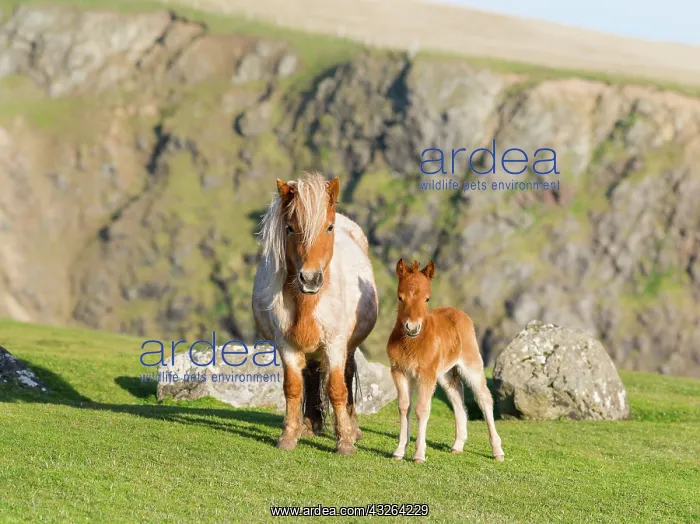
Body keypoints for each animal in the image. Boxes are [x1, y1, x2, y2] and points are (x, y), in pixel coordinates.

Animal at [252, 173, 378, 455]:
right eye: (289, 228)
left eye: (329, 228)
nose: (309, 279)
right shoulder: (286, 345)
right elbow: (293, 388)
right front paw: (289, 436)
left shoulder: (335, 343)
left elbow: (337, 389)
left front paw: (345, 442)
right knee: (310, 375)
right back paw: (310, 425)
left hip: (348, 346)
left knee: (347, 375)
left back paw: (352, 429)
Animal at [386, 258, 505, 463]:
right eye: (400, 297)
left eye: (427, 298)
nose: (412, 327)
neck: (412, 343)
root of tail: (458, 312)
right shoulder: (399, 372)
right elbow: (404, 407)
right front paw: (399, 451)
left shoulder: (426, 374)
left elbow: (422, 409)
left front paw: (419, 455)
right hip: (445, 373)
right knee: (457, 398)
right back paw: (457, 445)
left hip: (471, 364)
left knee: (484, 399)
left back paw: (497, 451)